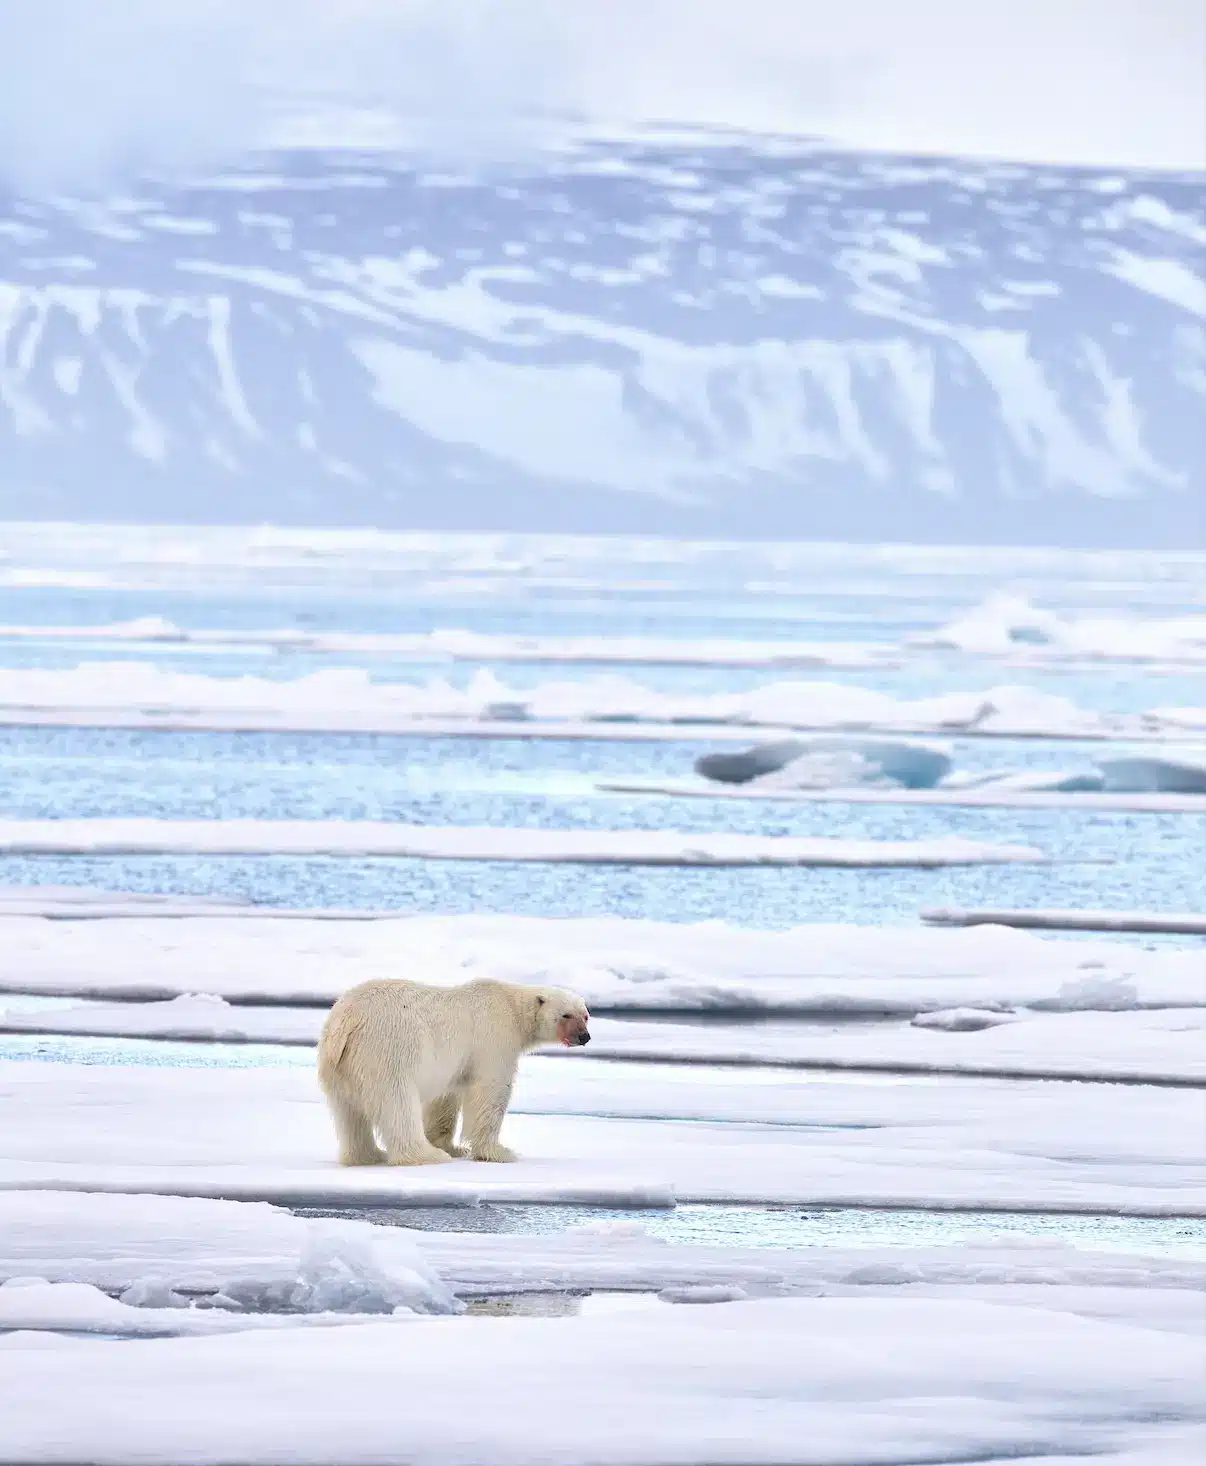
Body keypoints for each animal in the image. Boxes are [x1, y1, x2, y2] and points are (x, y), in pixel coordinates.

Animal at [316, 973, 589, 1166]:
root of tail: (345, 1020)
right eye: (566, 1015)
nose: (584, 1037)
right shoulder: (494, 1037)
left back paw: (368, 1155)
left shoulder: (455, 1064)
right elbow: (490, 1091)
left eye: (586, 1015)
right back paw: (426, 1155)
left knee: (348, 1113)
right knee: (397, 1103)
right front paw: (498, 1152)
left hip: (338, 1064)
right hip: (386, 1050)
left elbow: (445, 1099)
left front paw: (453, 1147)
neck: (511, 1005)